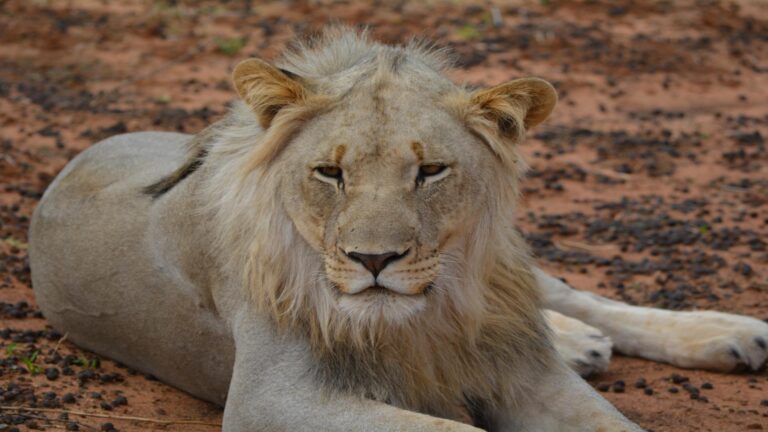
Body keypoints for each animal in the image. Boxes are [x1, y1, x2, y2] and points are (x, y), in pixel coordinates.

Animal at [30, 28, 768, 430]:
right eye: (330, 173)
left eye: (431, 170)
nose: (374, 259)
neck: (429, 315)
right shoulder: (273, 400)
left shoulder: (532, 376)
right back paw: (586, 343)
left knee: (571, 296)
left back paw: (725, 333)